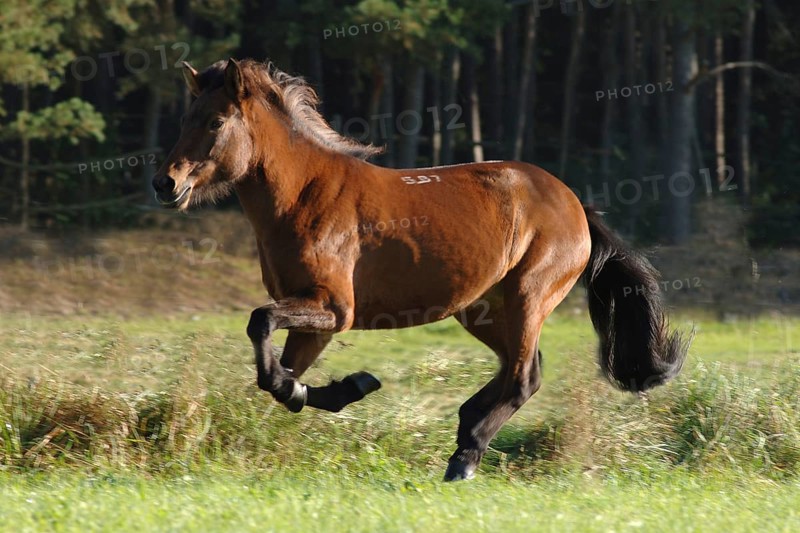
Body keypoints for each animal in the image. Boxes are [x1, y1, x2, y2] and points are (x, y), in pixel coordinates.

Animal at [152, 58, 689, 481]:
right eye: (184, 119)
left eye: (216, 122)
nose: (165, 183)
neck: (304, 194)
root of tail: (576, 204)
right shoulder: (315, 319)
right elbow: (278, 377)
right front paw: (345, 387)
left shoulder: (334, 309)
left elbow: (261, 325)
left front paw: (346, 385)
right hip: (481, 311)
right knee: (520, 369)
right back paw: (467, 429)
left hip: (527, 298)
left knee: (524, 378)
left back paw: (465, 457)